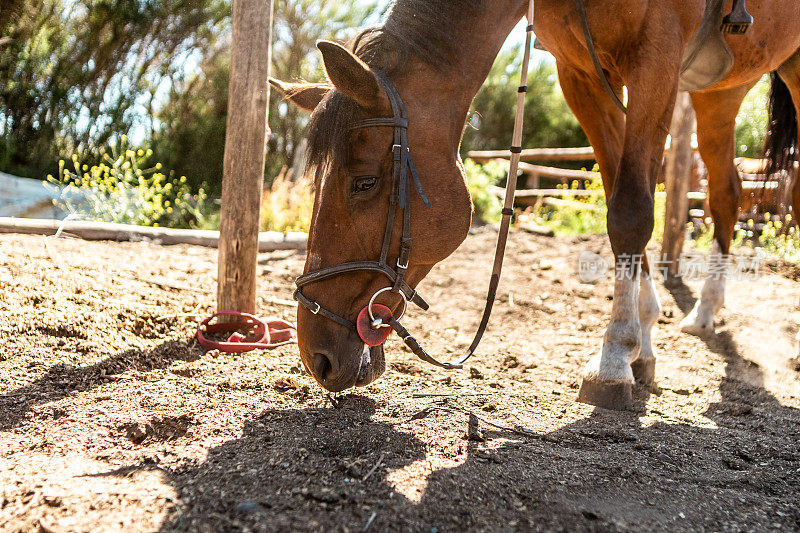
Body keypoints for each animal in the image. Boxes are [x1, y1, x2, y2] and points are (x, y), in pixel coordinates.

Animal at [274, 0, 800, 410]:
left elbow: (631, 211)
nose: (316, 355)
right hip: (720, 93)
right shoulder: (582, 74)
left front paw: (614, 357)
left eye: (363, 182)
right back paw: (707, 309)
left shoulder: (657, 56)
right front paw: (643, 343)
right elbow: (620, 194)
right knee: (727, 192)